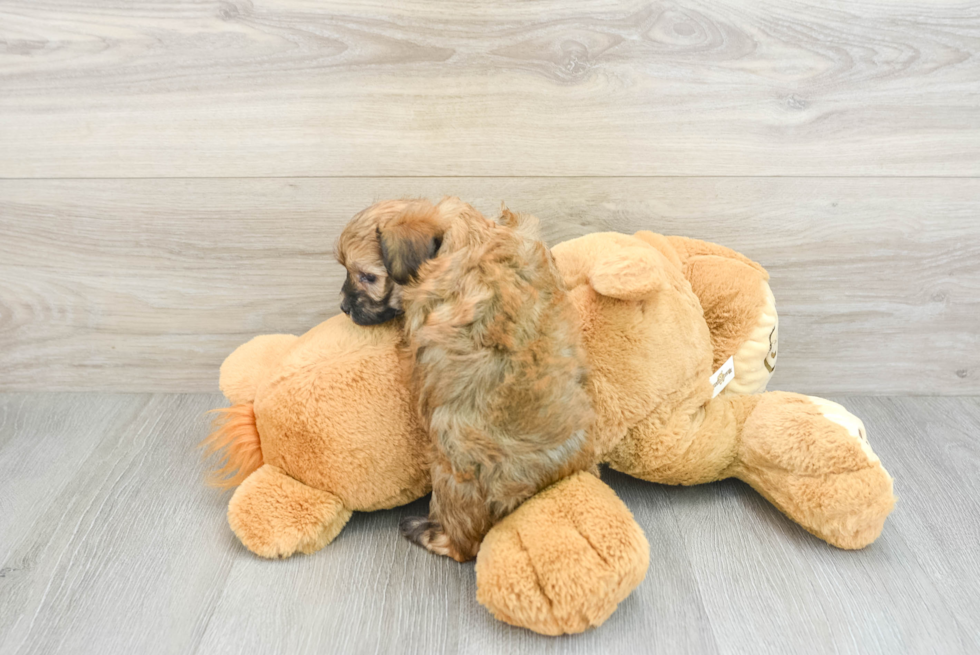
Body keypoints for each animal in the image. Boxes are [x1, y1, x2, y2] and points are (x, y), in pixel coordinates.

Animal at [336, 197, 592, 560]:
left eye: (367, 277)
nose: (343, 306)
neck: (467, 244)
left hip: (449, 473)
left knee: (463, 542)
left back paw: (428, 533)